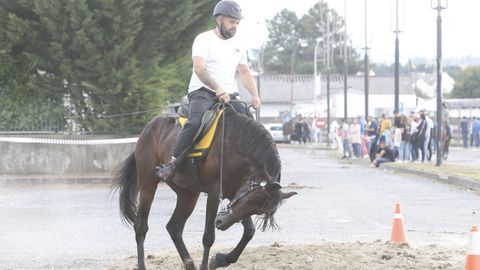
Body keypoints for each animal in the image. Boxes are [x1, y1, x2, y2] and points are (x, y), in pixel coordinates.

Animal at [115, 107, 296, 270]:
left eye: (258, 209)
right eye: (252, 198)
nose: (220, 223)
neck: (234, 146)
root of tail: (150, 127)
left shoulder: (234, 195)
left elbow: (249, 231)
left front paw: (221, 260)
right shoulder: (216, 194)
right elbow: (209, 237)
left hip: (188, 194)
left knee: (174, 227)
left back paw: (189, 264)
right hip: (147, 185)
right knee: (141, 227)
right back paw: (142, 264)